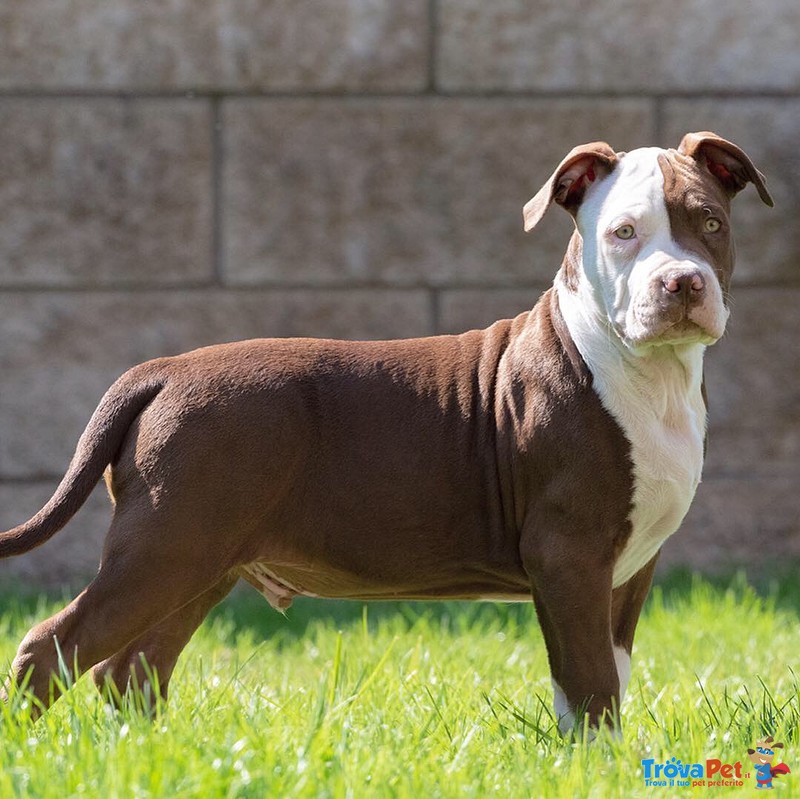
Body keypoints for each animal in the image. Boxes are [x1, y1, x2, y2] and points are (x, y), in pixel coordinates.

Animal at [1, 134, 776, 736]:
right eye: (623, 233)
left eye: (709, 222)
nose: (681, 283)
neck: (647, 373)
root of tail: (161, 371)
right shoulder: (570, 554)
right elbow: (589, 685)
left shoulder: (626, 570)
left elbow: (600, 677)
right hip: (166, 545)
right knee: (52, 647)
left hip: (200, 557)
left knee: (130, 669)